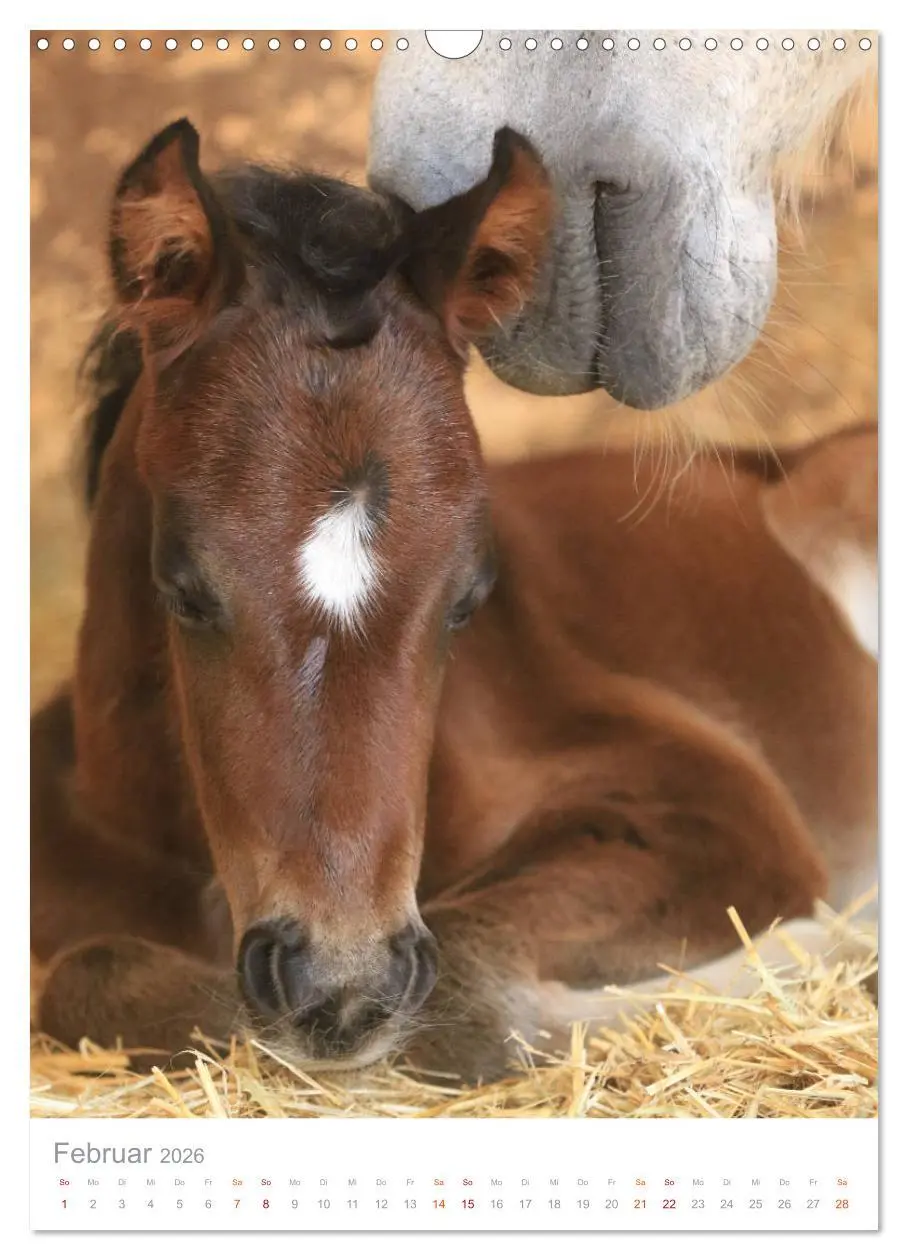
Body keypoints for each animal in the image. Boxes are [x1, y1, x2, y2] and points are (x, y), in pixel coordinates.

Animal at [32, 120, 877, 1083]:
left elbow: (468, 989)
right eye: (184, 588)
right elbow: (91, 973)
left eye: (467, 599)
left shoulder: (714, 804)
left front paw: (841, 947)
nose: (344, 985)